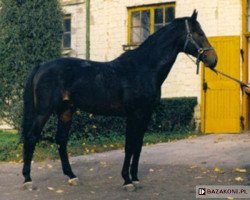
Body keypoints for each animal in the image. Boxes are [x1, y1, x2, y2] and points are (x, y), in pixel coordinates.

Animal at [21, 10, 217, 191]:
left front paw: (135, 178)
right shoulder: (134, 114)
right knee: (31, 137)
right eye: (199, 33)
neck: (143, 68)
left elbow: (138, 145)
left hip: (66, 111)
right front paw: (127, 180)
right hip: (43, 111)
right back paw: (28, 180)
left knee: (61, 140)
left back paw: (71, 176)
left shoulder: (145, 115)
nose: (213, 59)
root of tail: (41, 66)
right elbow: (129, 145)